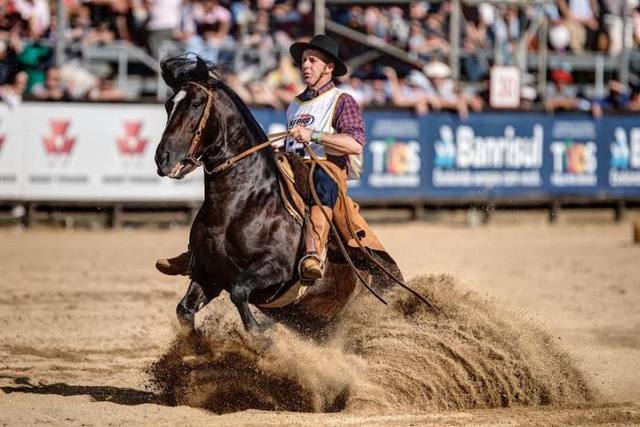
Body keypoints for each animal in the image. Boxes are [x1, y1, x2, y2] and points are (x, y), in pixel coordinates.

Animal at [154, 55, 402, 336]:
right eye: (169, 105)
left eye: (196, 103)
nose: (163, 158)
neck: (241, 203)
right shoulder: (209, 274)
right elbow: (184, 310)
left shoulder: (275, 267)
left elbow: (239, 292)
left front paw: (261, 333)